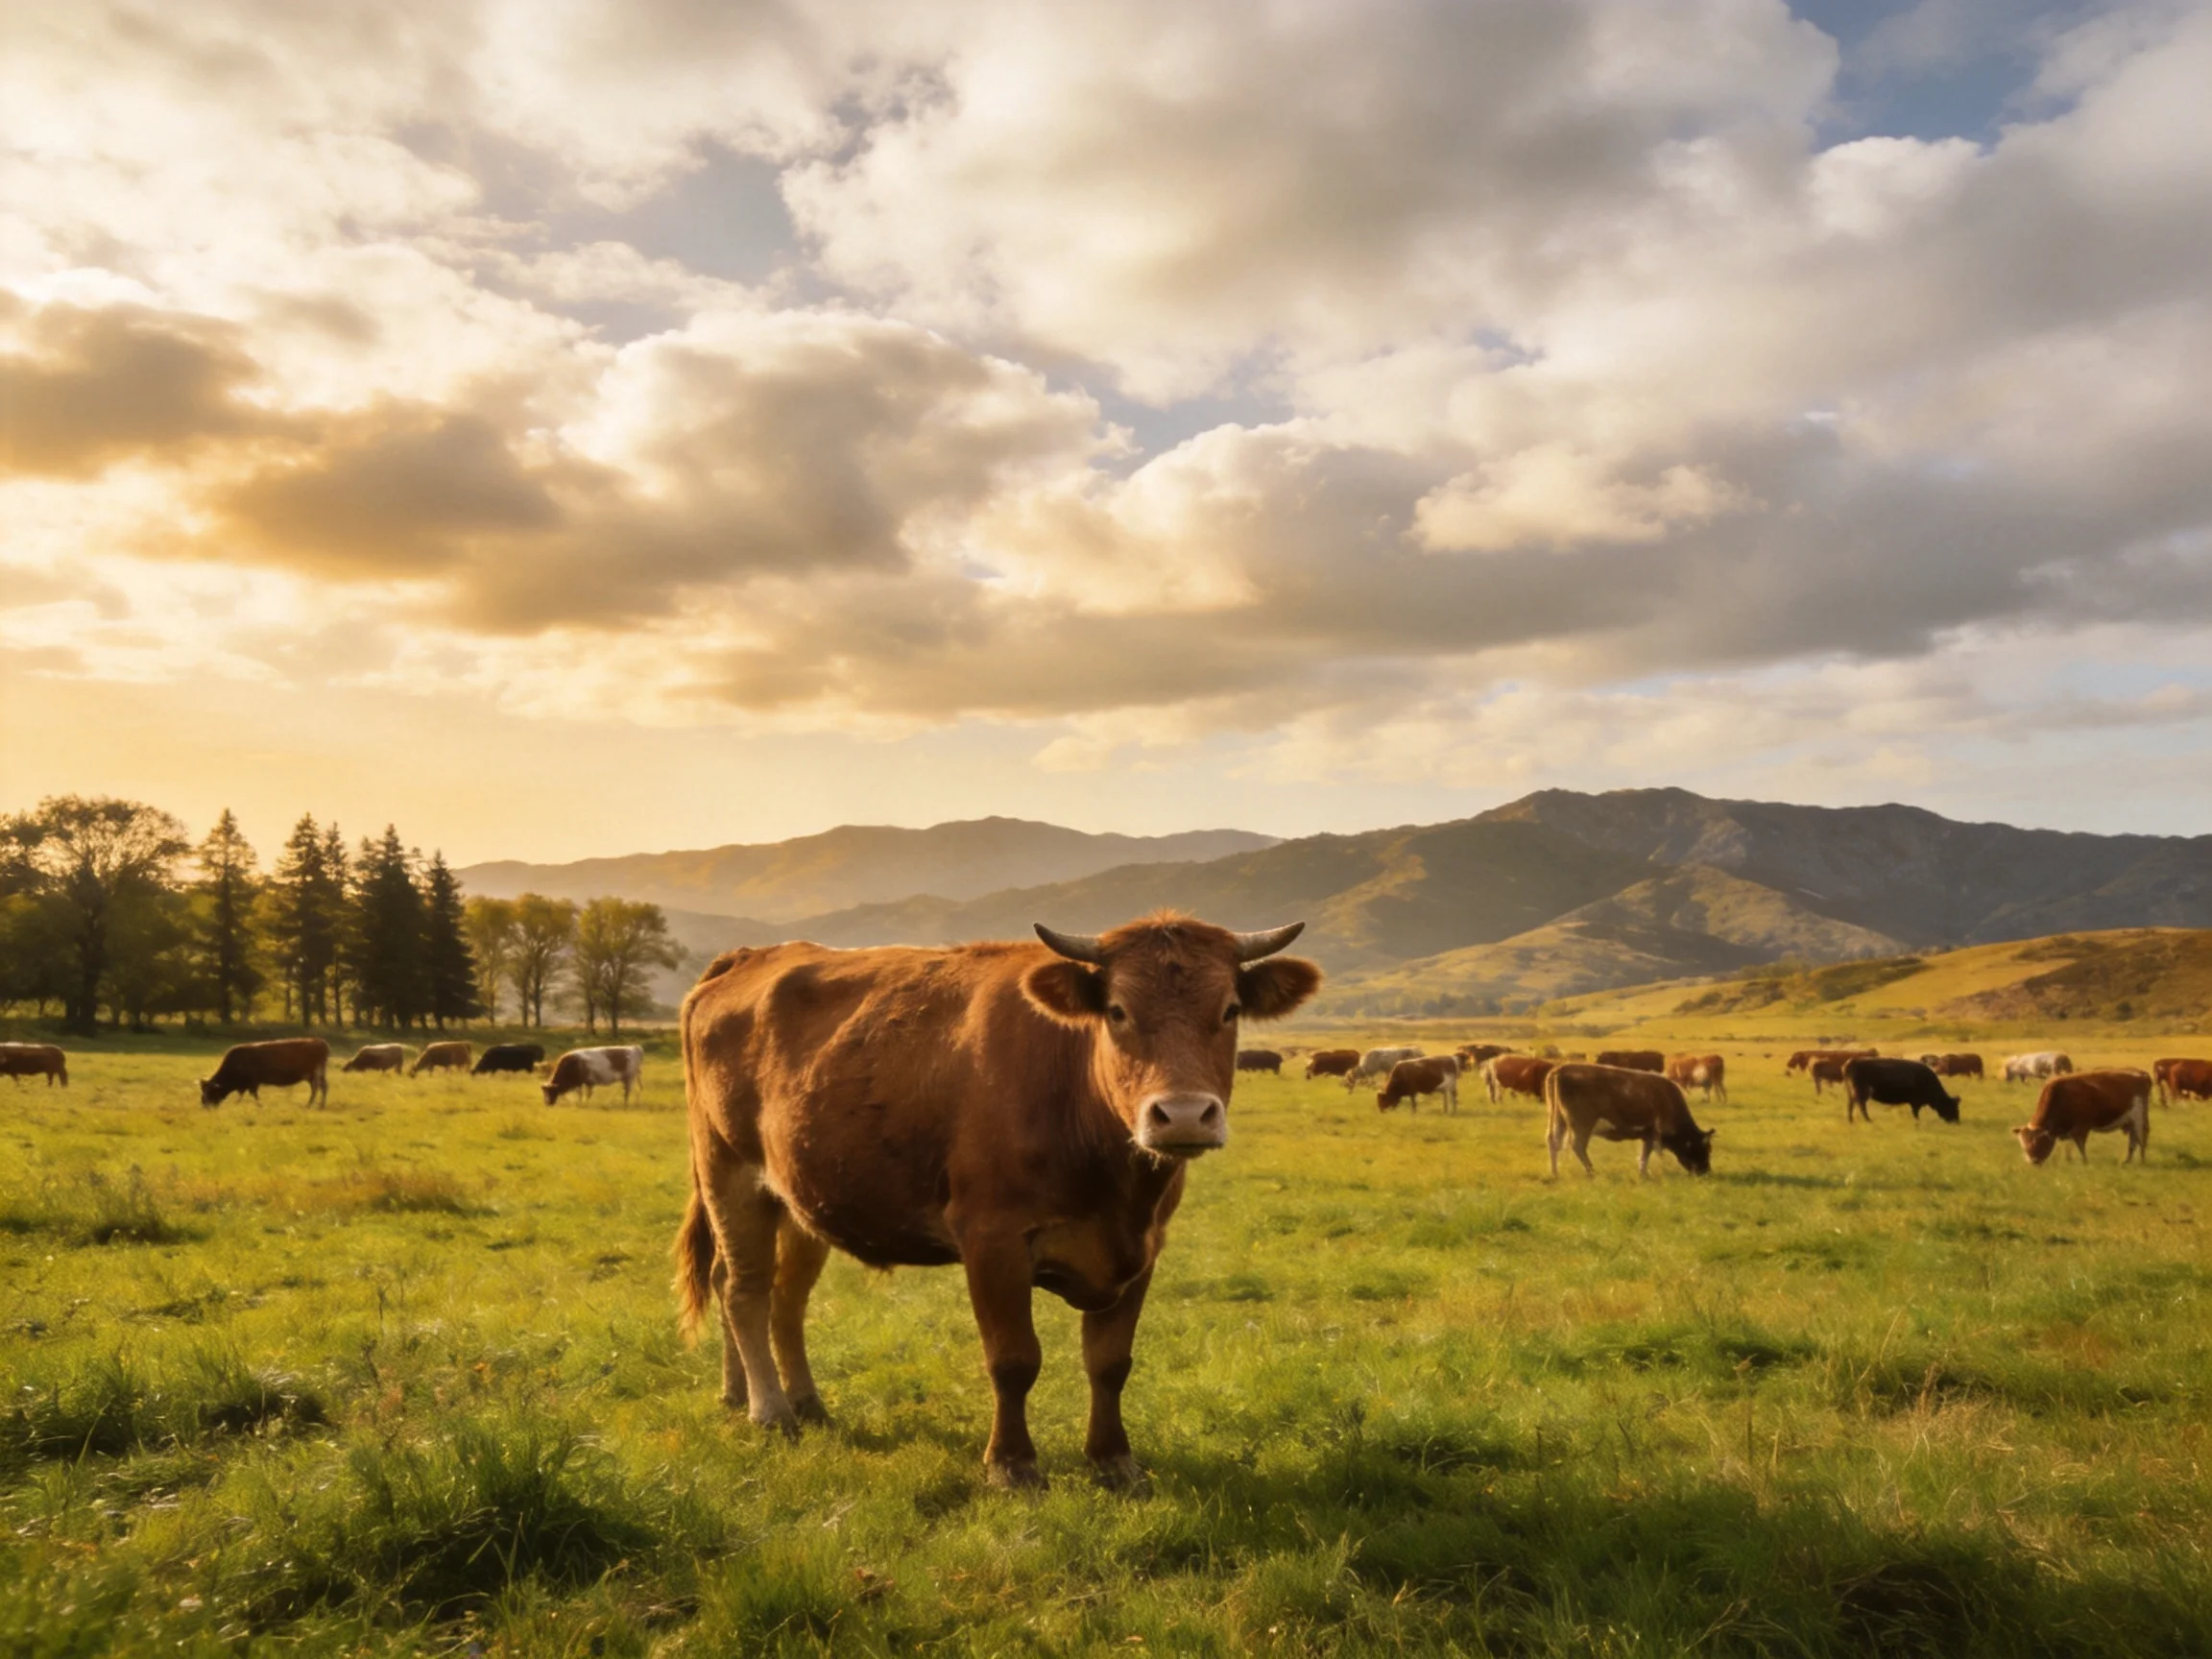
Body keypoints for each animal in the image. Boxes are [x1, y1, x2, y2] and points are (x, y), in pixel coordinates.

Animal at [200, 1038, 329, 1109]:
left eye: (210, 1092)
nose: (204, 1104)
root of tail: (321, 1042)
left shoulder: (253, 1082)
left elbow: (254, 1095)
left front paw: (259, 1106)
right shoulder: (246, 1085)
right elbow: (242, 1095)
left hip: (314, 1073)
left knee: (317, 1087)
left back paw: (310, 1105)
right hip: (315, 1075)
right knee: (323, 1087)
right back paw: (320, 1105)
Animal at [673, 913, 1319, 1489]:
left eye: (1230, 1009)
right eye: (1117, 1011)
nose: (1183, 1115)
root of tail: (752, 956)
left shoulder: (1142, 1247)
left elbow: (1110, 1363)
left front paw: (1114, 1462)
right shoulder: (992, 1241)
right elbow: (1013, 1361)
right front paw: (1012, 1466)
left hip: (800, 1198)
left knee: (780, 1297)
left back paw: (783, 1399)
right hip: (729, 1171)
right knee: (744, 1288)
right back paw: (769, 1411)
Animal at [1543, 1063, 1713, 1178]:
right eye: (1703, 1149)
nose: (1706, 1171)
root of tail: (1561, 1069)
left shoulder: (1647, 1134)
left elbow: (1644, 1154)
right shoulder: (1653, 1133)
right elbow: (1646, 1155)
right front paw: (1644, 1174)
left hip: (1558, 1119)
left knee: (1553, 1142)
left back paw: (1555, 1173)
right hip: (1582, 1123)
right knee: (1577, 1145)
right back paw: (1592, 1172)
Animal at [2013, 1069, 2152, 1165]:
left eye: (2039, 1143)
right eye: (2024, 1146)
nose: (2033, 1161)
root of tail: (2141, 1074)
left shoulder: (2081, 1127)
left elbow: (2080, 1145)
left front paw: (2085, 1162)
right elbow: (2069, 1146)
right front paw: (2068, 1160)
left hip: (2139, 1119)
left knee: (2141, 1139)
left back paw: (2142, 1161)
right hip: (2130, 1122)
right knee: (2133, 1141)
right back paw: (2127, 1161)